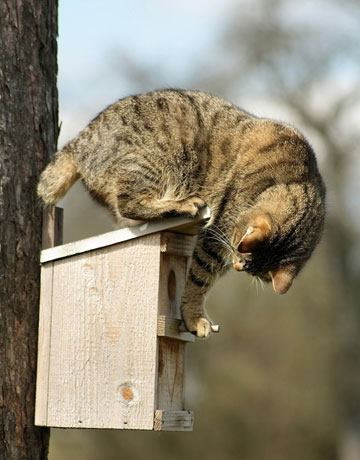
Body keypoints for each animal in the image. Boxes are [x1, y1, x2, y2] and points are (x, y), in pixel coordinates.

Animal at [38, 88, 324, 336]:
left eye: (251, 270)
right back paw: (182, 203)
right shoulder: (218, 234)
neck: (296, 182)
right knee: (129, 201)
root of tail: (79, 143)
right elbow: (200, 278)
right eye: (242, 256)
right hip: (156, 162)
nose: (238, 265)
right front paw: (195, 317)